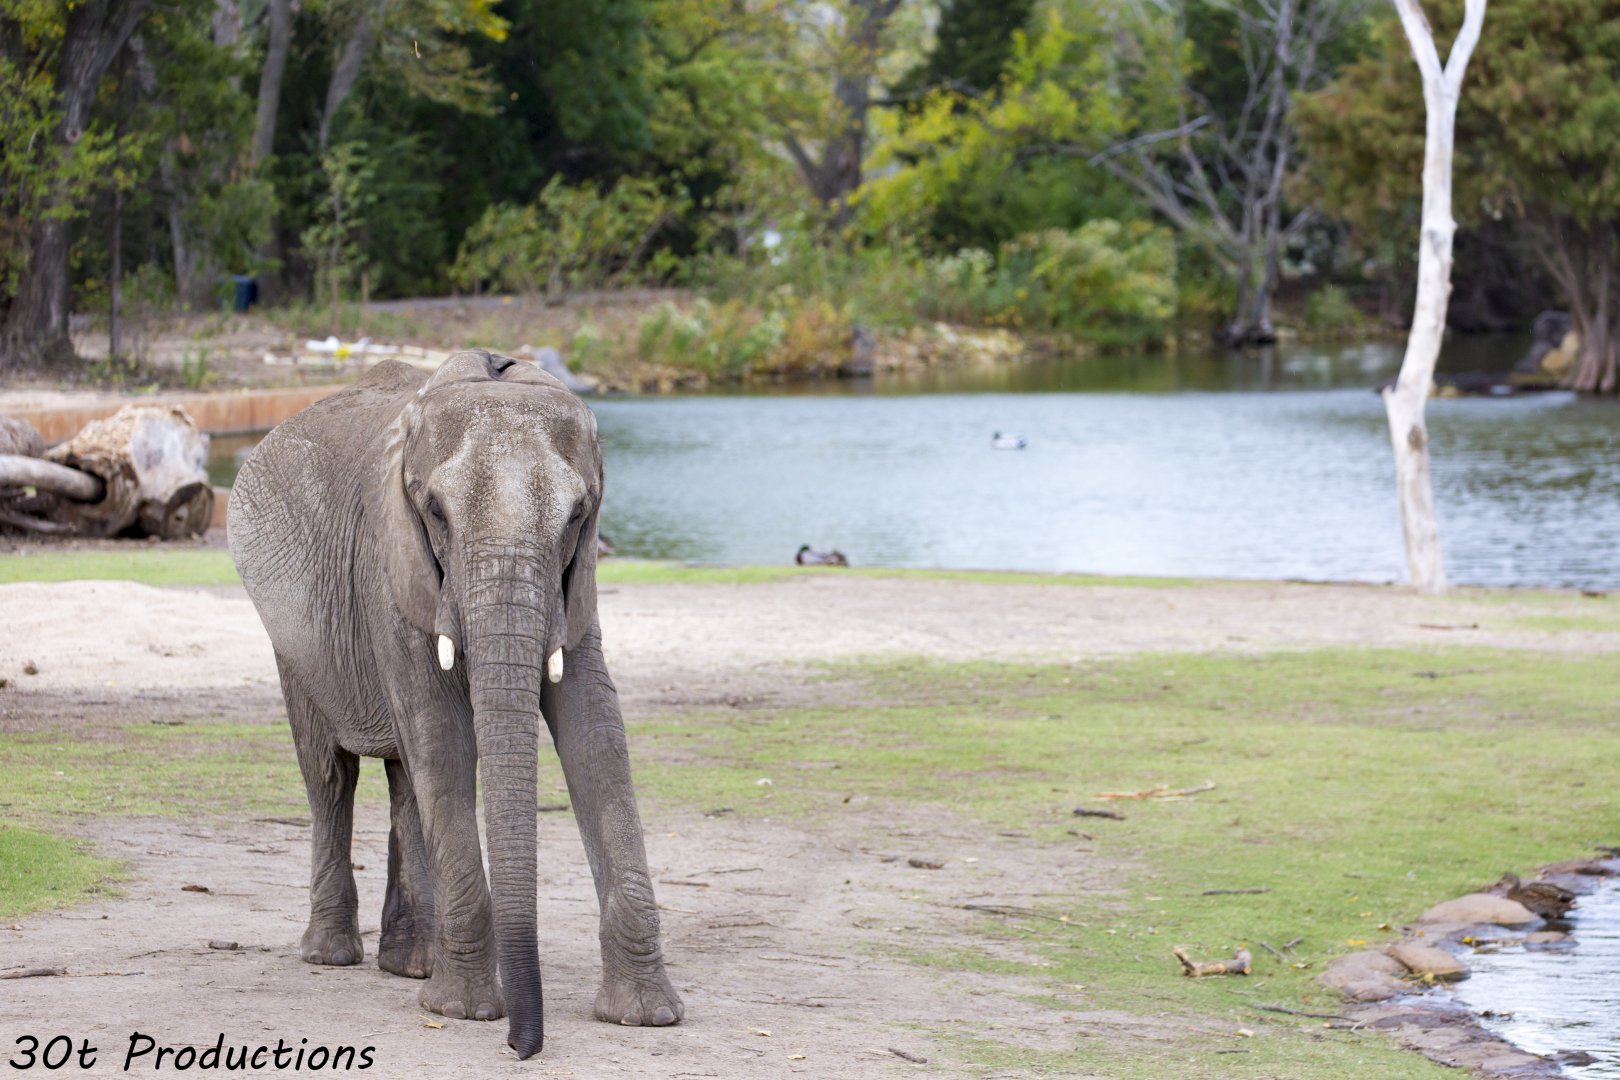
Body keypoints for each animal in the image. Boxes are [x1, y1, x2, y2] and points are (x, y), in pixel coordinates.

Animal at [227, 350, 683, 1058]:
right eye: (436, 513)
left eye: (578, 515)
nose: (524, 1046)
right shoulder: (391, 564)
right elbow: (441, 735)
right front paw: (465, 1012)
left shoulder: (573, 583)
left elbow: (596, 731)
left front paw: (645, 1016)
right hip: (293, 640)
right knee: (330, 773)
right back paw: (332, 955)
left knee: (404, 778)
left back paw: (411, 964)